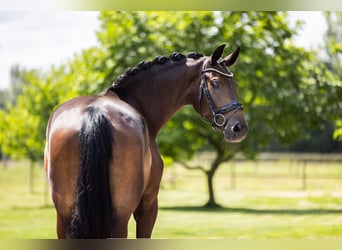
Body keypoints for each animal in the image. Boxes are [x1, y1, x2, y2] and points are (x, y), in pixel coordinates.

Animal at [44, 44, 248, 238]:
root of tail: (94, 112)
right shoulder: (148, 205)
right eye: (216, 83)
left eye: (236, 85)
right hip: (120, 215)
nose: (239, 128)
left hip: (64, 216)